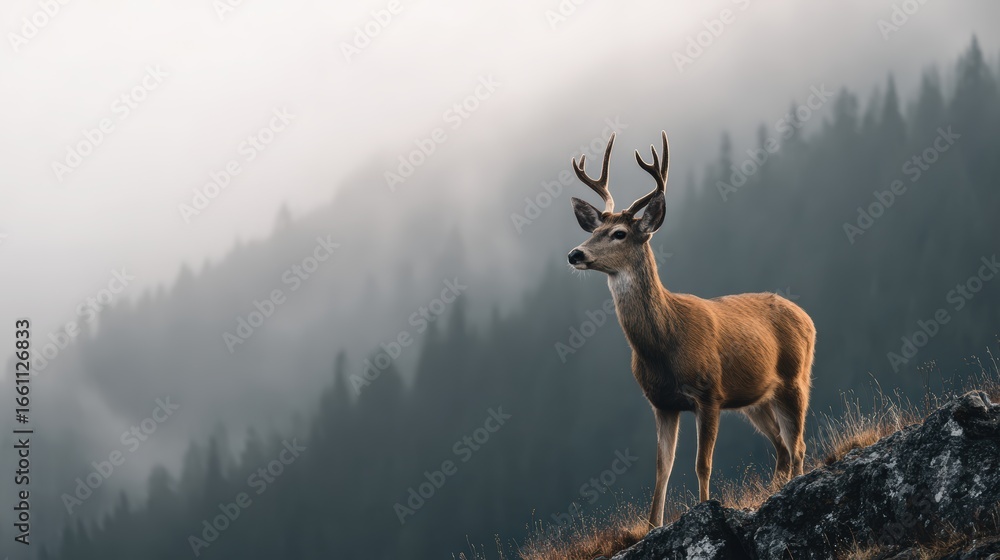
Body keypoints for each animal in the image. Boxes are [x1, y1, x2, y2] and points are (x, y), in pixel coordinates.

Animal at [566, 131, 816, 527]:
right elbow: (662, 469)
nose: (575, 254)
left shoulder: (709, 393)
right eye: (595, 230)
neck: (664, 344)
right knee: (781, 444)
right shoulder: (662, 403)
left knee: (798, 443)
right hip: (755, 399)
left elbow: (703, 463)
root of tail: (806, 316)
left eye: (619, 233)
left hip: (795, 377)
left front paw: (705, 508)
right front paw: (653, 526)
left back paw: (795, 484)